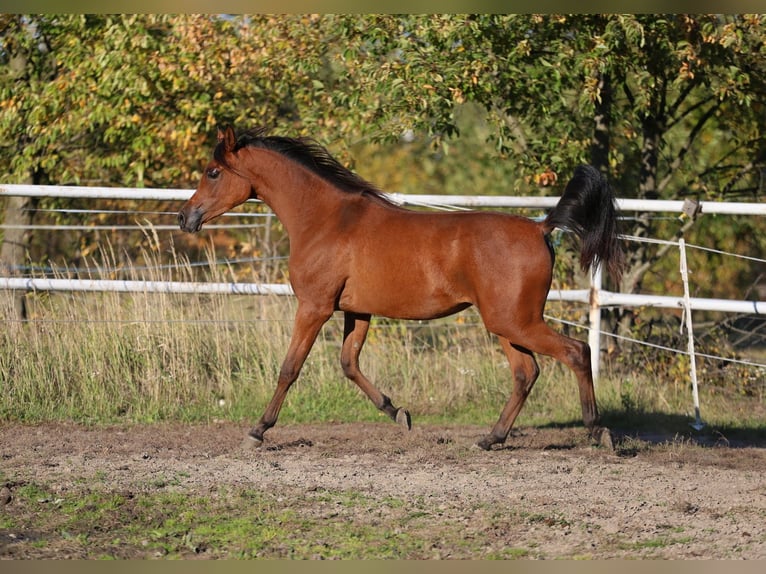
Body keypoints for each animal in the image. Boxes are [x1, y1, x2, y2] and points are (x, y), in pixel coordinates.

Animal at [180, 128, 624, 452]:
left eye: (213, 172)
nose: (186, 217)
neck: (326, 220)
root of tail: (541, 228)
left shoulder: (314, 307)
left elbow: (290, 368)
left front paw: (257, 430)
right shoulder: (357, 310)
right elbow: (349, 364)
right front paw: (399, 414)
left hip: (516, 321)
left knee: (575, 352)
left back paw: (597, 432)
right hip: (507, 324)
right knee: (525, 373)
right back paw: (491, 438)